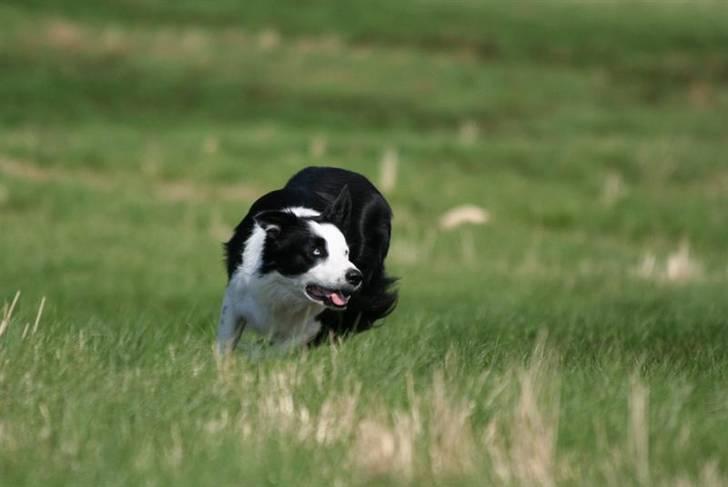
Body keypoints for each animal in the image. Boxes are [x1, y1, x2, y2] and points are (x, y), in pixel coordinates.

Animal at [216, 168, 398, 354]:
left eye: (345, 252)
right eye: (316, 252)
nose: (355, 277)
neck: (284, 287)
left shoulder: (324, 316)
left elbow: (285, 345)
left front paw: (255, 355)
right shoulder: (236, 292)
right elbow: (224, 342)